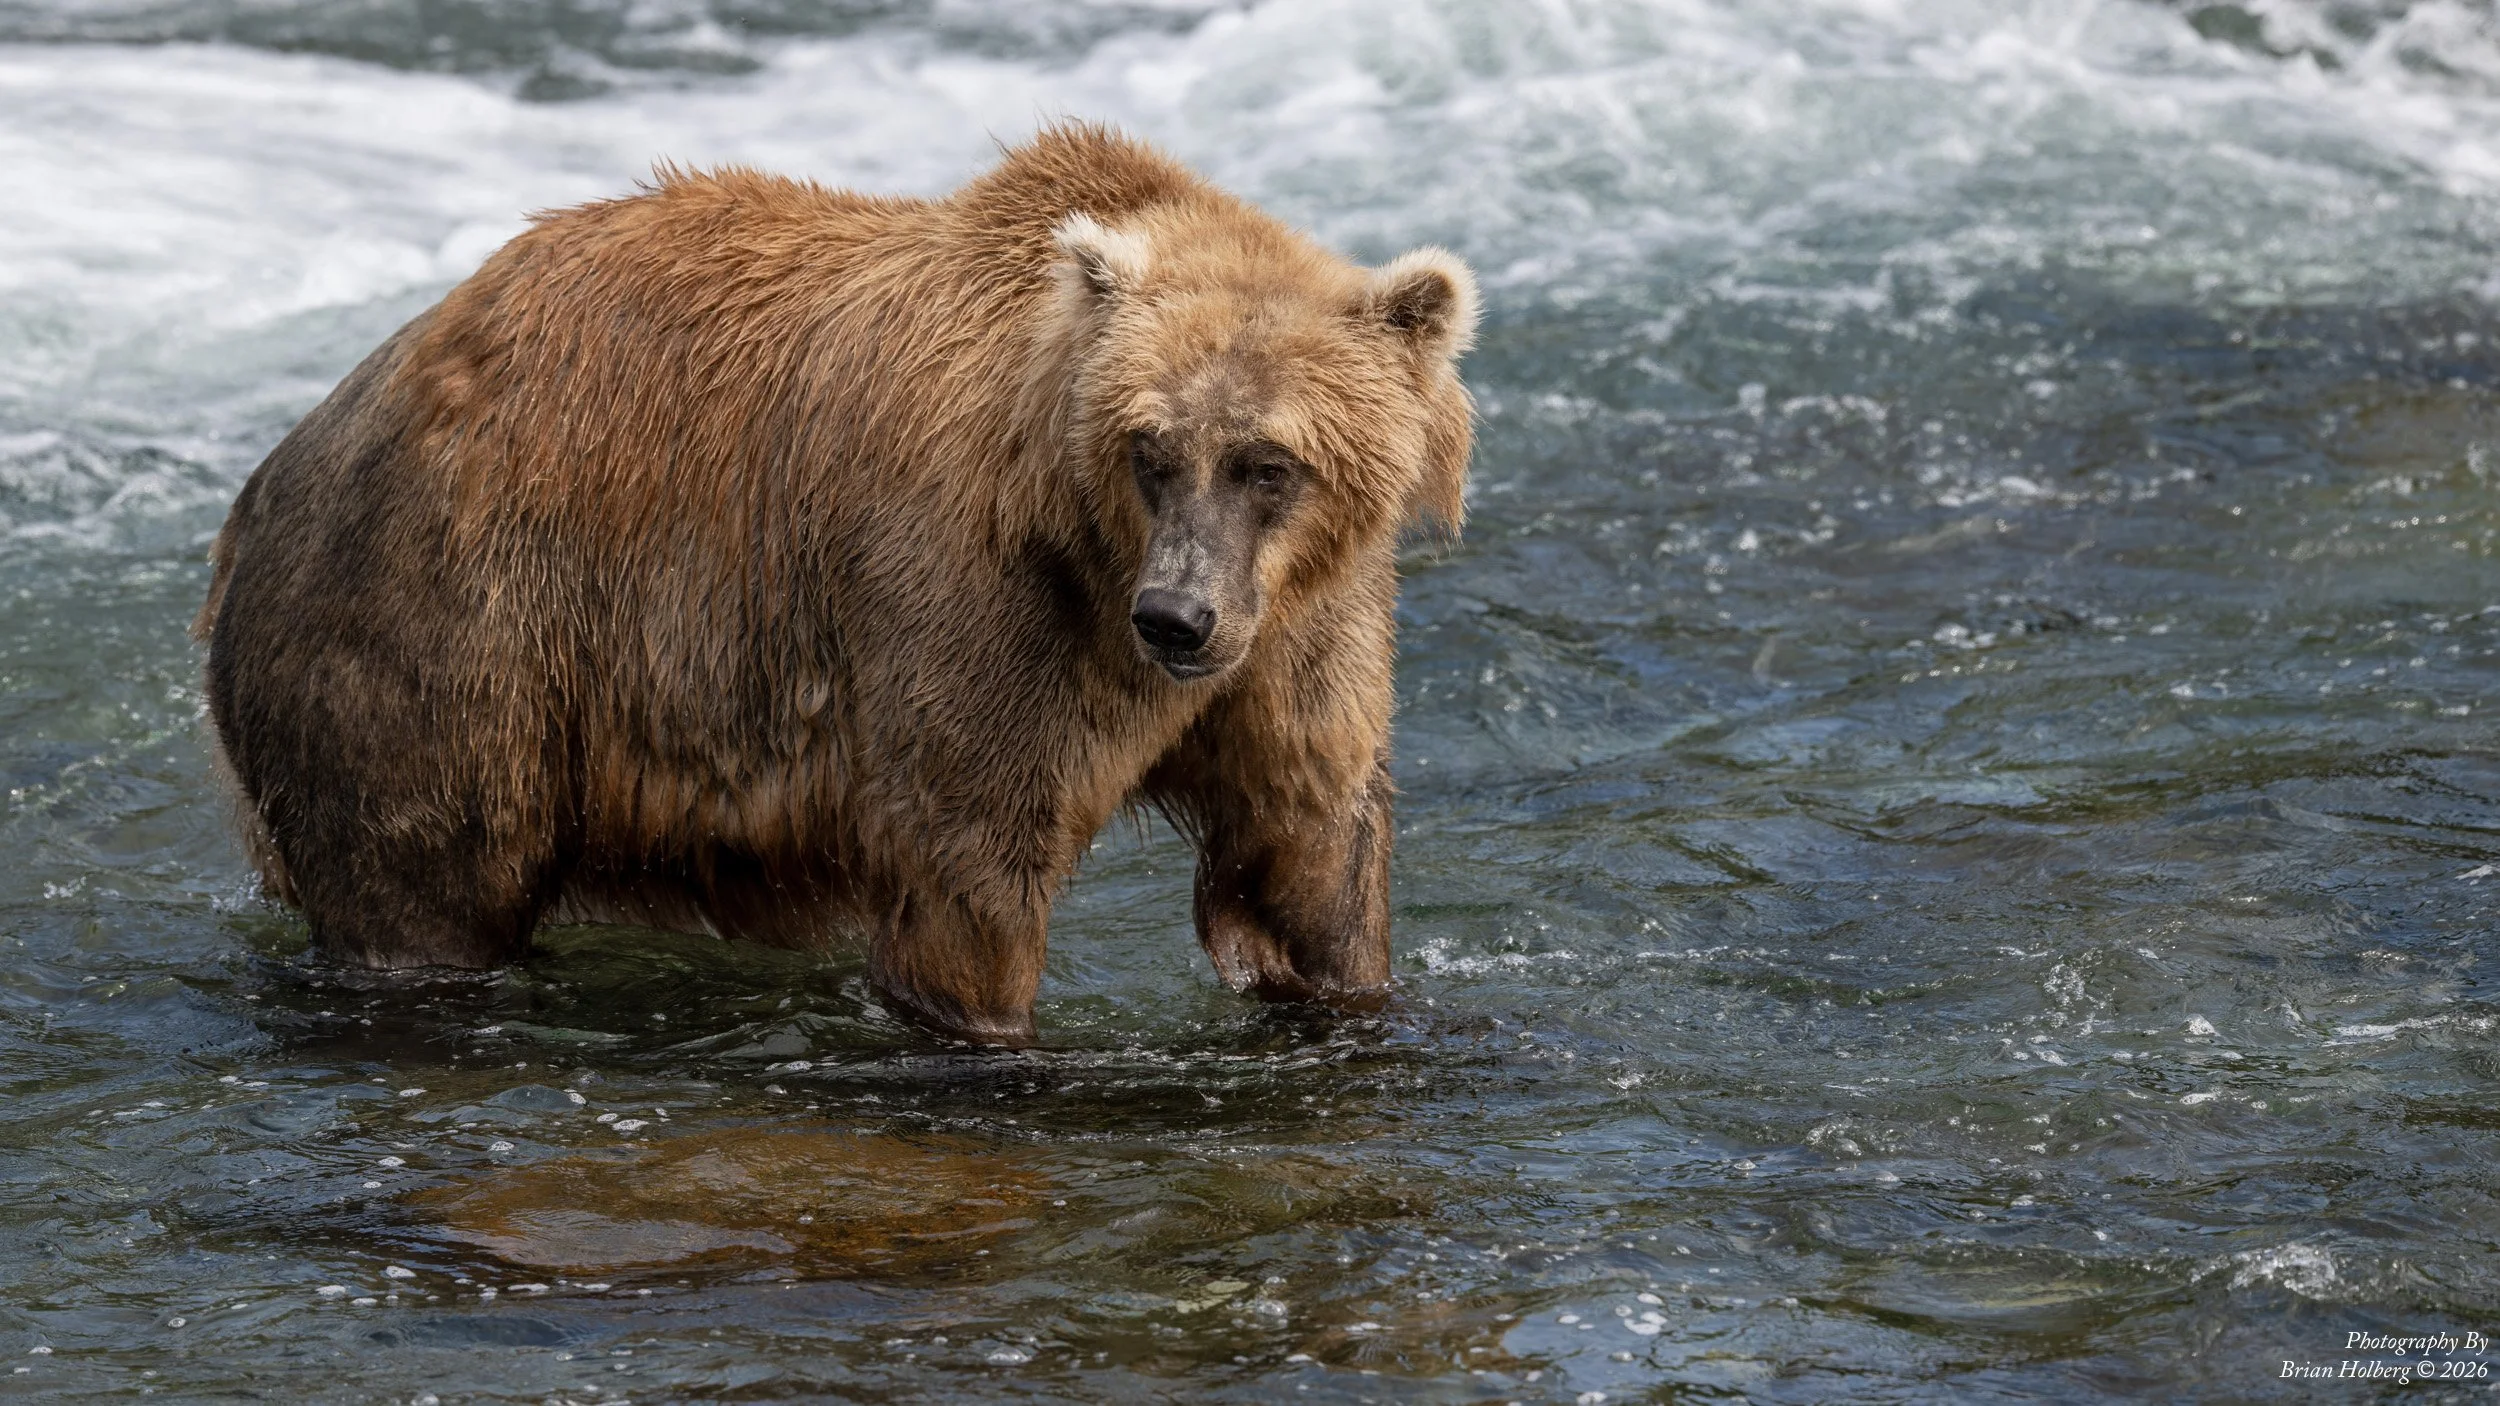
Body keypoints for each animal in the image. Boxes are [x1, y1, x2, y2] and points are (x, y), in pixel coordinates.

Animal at [193, 123, 1478, 1045]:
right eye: (1147, 447)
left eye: (1267, 460)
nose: (1176, 618)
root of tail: (265, 481)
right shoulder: (978, 600)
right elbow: (971, 869)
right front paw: (990, 1035)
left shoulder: (1301, 630)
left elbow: (1307, 844)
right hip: (449, 625)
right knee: (429, 875)